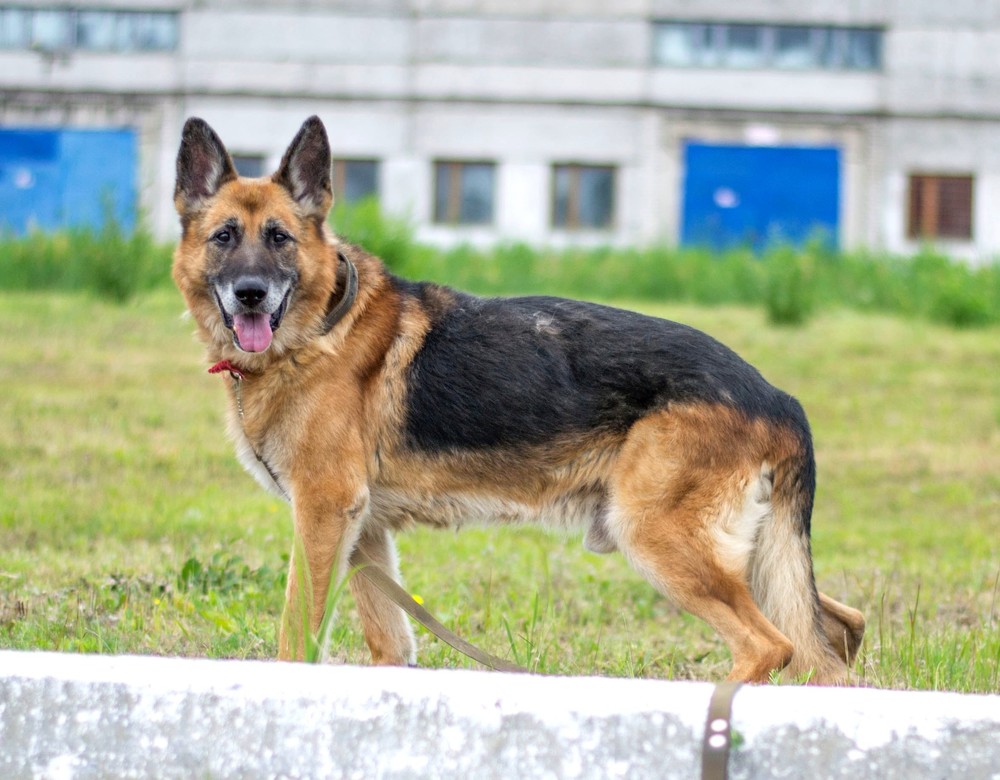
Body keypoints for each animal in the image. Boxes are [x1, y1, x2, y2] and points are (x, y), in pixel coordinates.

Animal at [170, 116, 860, 684]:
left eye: (280, 238)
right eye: (224, 236)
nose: (251, 294)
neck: (319, 327)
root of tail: (776, 395)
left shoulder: (323, 511)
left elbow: (297, 634)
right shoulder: (362, 532)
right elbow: (390, 645)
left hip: (657, 536)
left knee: (772, 645)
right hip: (745, 556)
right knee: (835, 628)